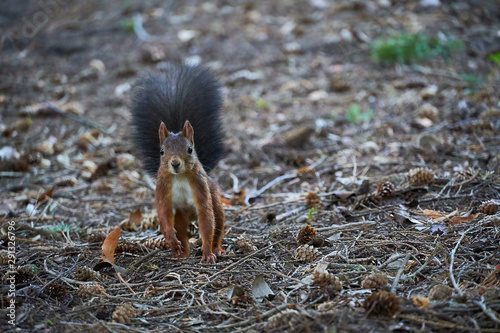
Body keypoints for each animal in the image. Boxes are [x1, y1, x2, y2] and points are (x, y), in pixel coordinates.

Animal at [132, 63, 228, 262]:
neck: (180, 177)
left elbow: (207, 219)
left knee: (217, 224)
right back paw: (181, 252)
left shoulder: (200, 187)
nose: (175, 163)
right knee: (183, 234)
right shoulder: (162, 187)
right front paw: (171, 239)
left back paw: (216, 249)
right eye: (161, 152)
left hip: (215, 200)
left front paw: (207, 253)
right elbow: (163, 212)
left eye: (190, 149)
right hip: (181, 218)